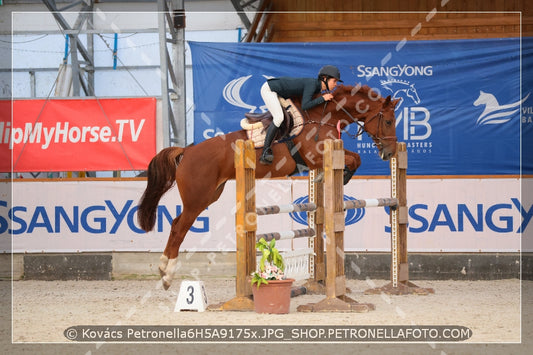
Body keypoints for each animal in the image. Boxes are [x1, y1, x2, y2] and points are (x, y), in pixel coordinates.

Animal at [139, 85, 396, 290]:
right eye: (388, 121)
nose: (390, 153)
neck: (323, 116)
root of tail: (187, 151)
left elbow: (355, 158)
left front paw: (331, 176)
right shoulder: (315, 156)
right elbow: (353, 160)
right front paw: (342, 177)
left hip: (211, 194)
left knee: (176, 223)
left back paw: (164, 269)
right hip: (197, 199)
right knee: (179, 228)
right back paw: (166, 274)